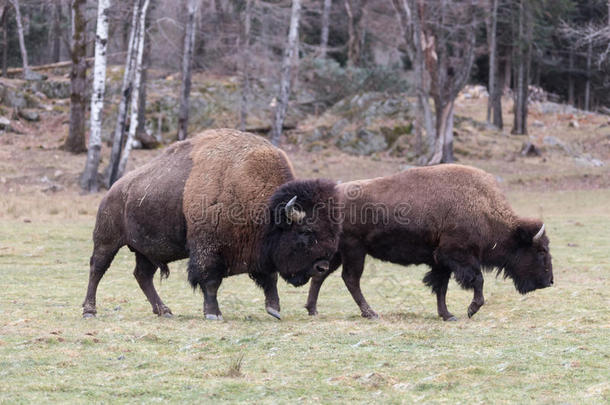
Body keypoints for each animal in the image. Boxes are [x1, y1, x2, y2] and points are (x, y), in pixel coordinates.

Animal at [81, 129, 340, 318]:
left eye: (333, 231)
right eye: (306, 232)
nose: (322, 267)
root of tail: (113, 190)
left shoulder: (260, 253)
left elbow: (270, 279)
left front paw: (274, 310)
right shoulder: (208, 250)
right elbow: (211, 282)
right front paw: (213, 314)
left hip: (146, 251)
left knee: (142, 276)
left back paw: (164, 311)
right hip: (108, 241)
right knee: (97, 269)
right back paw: (89, 311)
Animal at [304, 163, 552, 318]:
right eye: (540, 251)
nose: (549, 281)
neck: (483, 206)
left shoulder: (440, 262)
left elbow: (441, 287)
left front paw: (447, 315)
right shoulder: (457, 255)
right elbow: (477, 280)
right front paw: (471, 309)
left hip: (338, 252)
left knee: (321, 274)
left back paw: (313, 310)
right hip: (354, 250)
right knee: (350, 279)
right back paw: (370, 313)